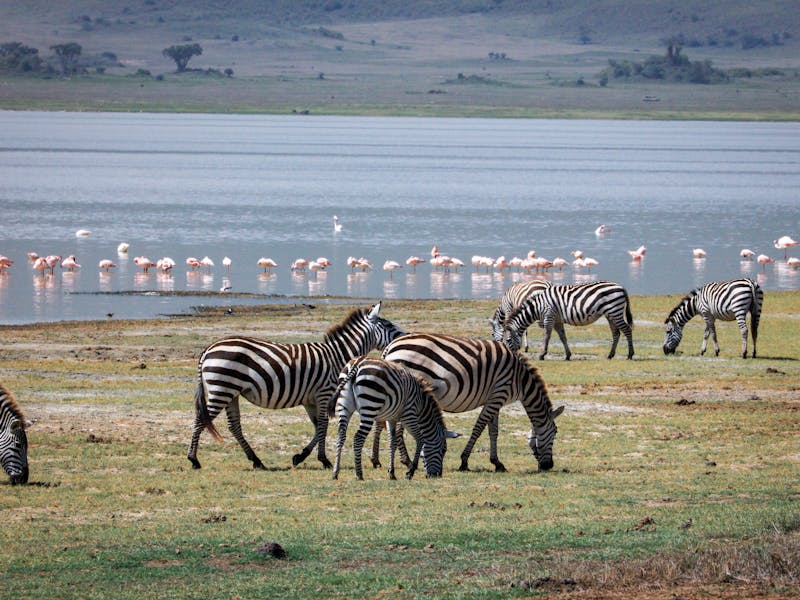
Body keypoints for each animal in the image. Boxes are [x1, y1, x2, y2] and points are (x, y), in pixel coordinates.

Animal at [187, 302, 405, 470]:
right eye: (388, 325)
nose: (405, 336)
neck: (337, 356)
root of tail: (208, 349)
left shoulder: (310, 400)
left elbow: (318, 427)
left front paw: (301, 456)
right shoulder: (324, 393)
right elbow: (323, 426)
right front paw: (323, 460)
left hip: (231, 392)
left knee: (234, 426)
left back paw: (256, 461)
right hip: (222, 389)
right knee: (201, 419)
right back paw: (194, 459)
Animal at [381, 333, 564, 472]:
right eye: (555, 432)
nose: (548, 466)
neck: (521, 380)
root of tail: (390, 346)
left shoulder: (495, 399)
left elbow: (493, 431)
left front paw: (497, 462)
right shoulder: (499, 394)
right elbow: (479, 428)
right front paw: (464, 461)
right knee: (399, 427)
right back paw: (407, 461)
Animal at [502, 281, 634, 360]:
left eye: (508, 340)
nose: (509, 356)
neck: (537, 306)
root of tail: (621, 287)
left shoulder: (549, 316)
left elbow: (547, 336)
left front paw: (542, 354)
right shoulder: (557, 320)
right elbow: (563, 337)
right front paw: (568, 355)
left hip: (615, 311)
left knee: (627, 330)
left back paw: (630, 355)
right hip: (610, 314)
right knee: (616, 333)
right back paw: (610, 355)